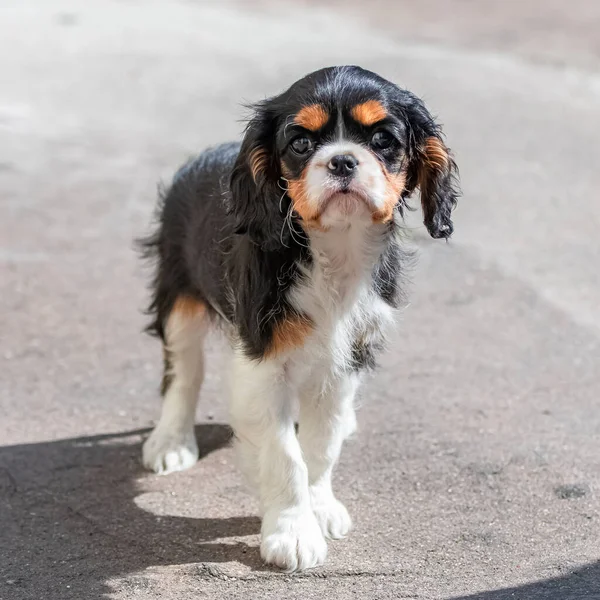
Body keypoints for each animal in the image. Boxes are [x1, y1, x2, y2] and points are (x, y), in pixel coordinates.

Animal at [139, 64, 460, 572]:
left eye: (383, 140)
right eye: (301, 143)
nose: (343, 161)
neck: (333, 247)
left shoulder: (344, 360)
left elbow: (321, 444)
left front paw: (320, 507)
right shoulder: (261, 362)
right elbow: (285, 456)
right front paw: (291, 532)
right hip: (179, 294)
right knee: (183, 372)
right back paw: (171, 442)